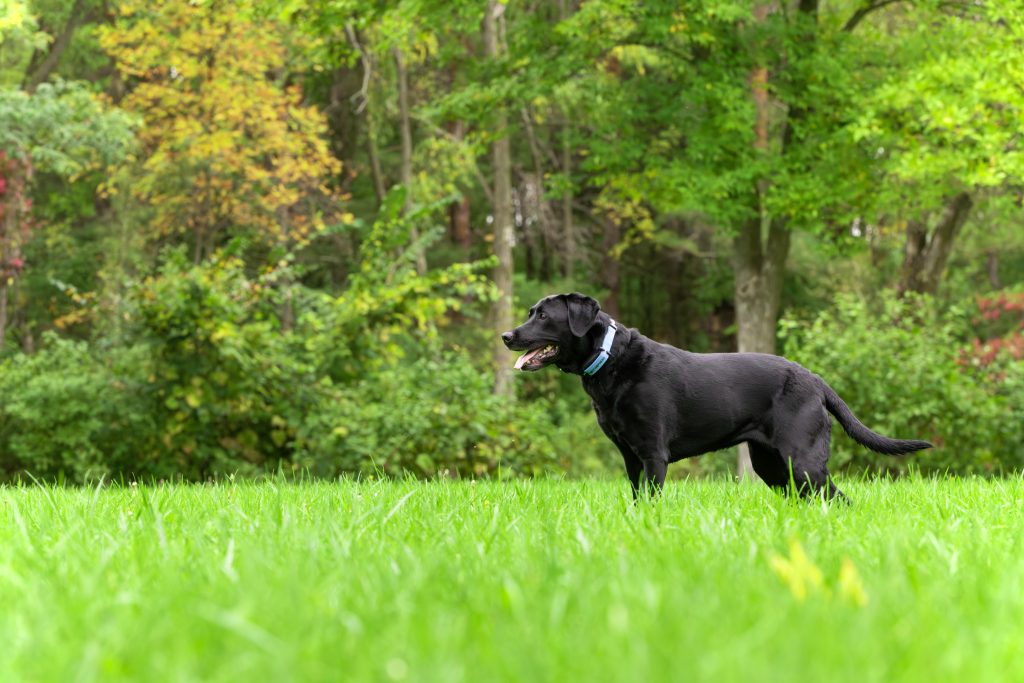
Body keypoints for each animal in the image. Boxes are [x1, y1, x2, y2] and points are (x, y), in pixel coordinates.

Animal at [501, 293, 932, 500]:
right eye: (531, 312)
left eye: (544, 316)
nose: (506, 336)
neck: (612, 359)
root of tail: (815, 379)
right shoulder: (630, 457)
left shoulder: (653, 455)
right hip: (771, 465)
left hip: (803, 459)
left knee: (838, 498)